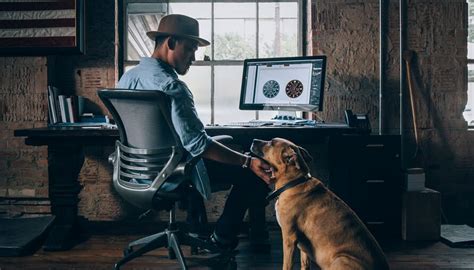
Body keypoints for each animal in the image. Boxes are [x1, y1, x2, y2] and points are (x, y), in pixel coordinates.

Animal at [250, 138, 390, 268]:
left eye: (271, 143)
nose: (253, 140)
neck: (294, 182)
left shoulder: (289, 238)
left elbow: (287, 265)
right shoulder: (303, 247)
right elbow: (305, 264)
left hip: (340, 259)